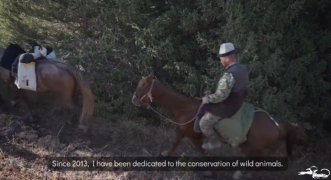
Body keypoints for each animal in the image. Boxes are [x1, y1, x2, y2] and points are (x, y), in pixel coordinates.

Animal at [132, 74, 298, 179]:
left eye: (141, 87)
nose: (133, 99)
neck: (185, 108)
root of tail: (276, 123)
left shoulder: (196, 138)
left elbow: (204, 153)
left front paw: (212, 171)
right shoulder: (182, 130)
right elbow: (175, 142)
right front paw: (165, 154)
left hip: (250, 147)